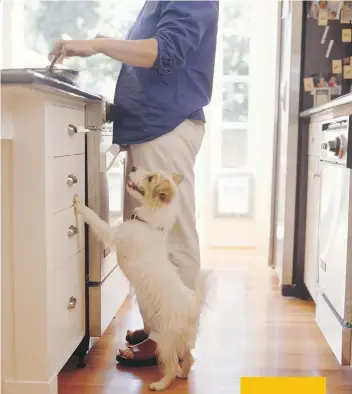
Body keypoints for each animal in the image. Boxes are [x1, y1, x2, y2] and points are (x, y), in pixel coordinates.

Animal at [73, 166, 208, 390]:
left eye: (150, 178)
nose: (134, 167)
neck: (150, 222)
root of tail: (193, 306)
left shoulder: (112, 235)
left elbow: (96, 220)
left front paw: (79, 205)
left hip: (166, 339)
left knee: (172, 365)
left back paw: (161, 384)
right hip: (182, 338)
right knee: (189, 358)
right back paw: (183, 375)